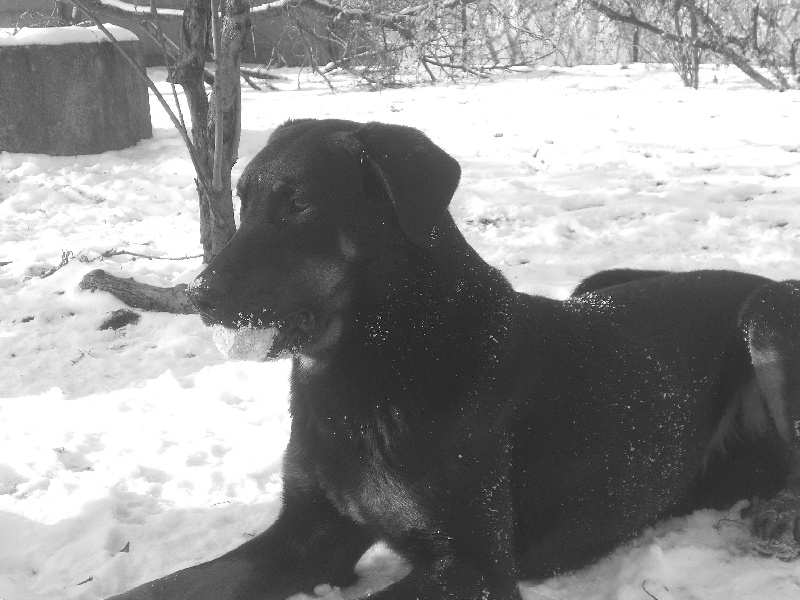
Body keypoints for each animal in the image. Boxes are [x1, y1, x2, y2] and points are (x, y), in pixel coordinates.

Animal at [110, 119, 800, 600]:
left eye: (299, 203)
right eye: (244, 200)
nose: (199, 296)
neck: (372, 365)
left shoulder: (476, 564)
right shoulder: (306, 531)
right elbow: (168, 586)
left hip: (766, 316)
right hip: (600, 283)